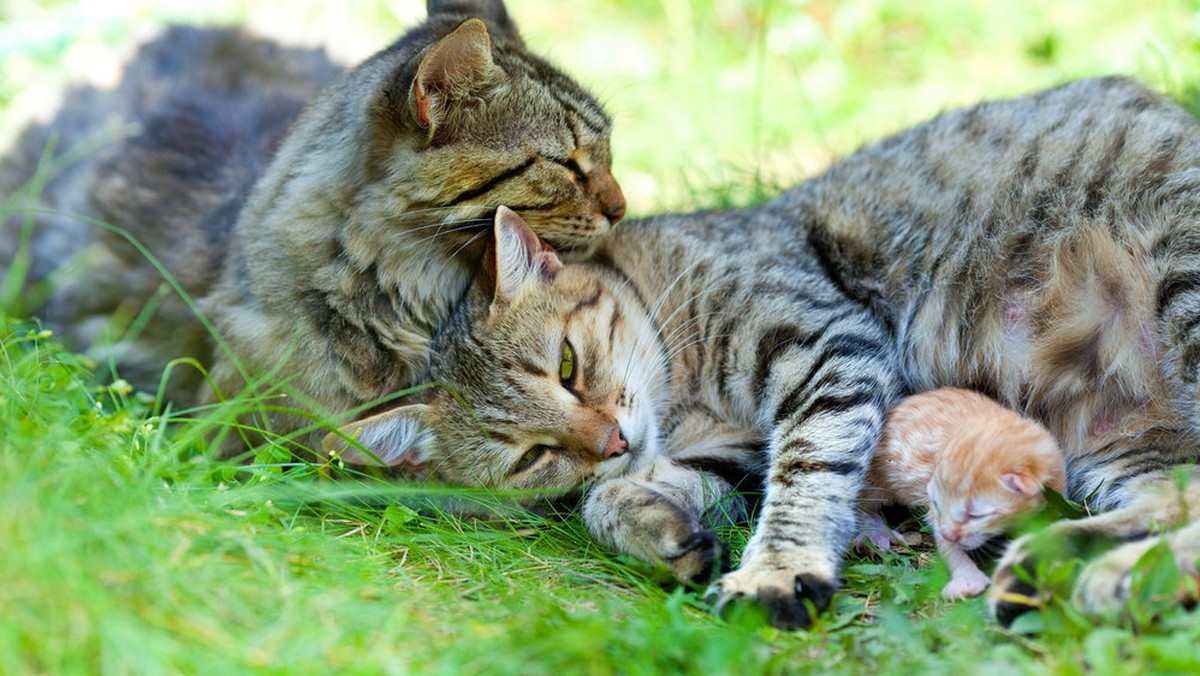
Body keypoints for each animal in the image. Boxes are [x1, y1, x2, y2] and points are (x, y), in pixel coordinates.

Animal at [859, 389, 1065, 600]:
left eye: (976, 515)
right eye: (937, 504)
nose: (949, 534)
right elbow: (947, 544)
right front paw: (967, 579)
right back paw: (874, 532)